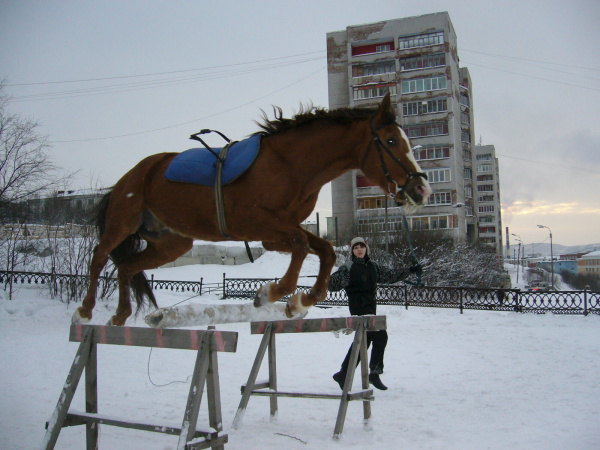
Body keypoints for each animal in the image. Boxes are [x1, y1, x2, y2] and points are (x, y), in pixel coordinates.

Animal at [75, 93, 432, 326]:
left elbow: (325, 250)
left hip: (171, 243)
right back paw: (85, 309)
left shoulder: (278, 232)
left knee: (126, 267)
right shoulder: (256, 223)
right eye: (390, 141)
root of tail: (129, 176)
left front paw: (299, 302)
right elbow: (303, 247)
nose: (421, 189)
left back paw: (120, 315)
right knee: (99, 256)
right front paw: (272, 294)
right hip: (122, 224)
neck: (290, 165)